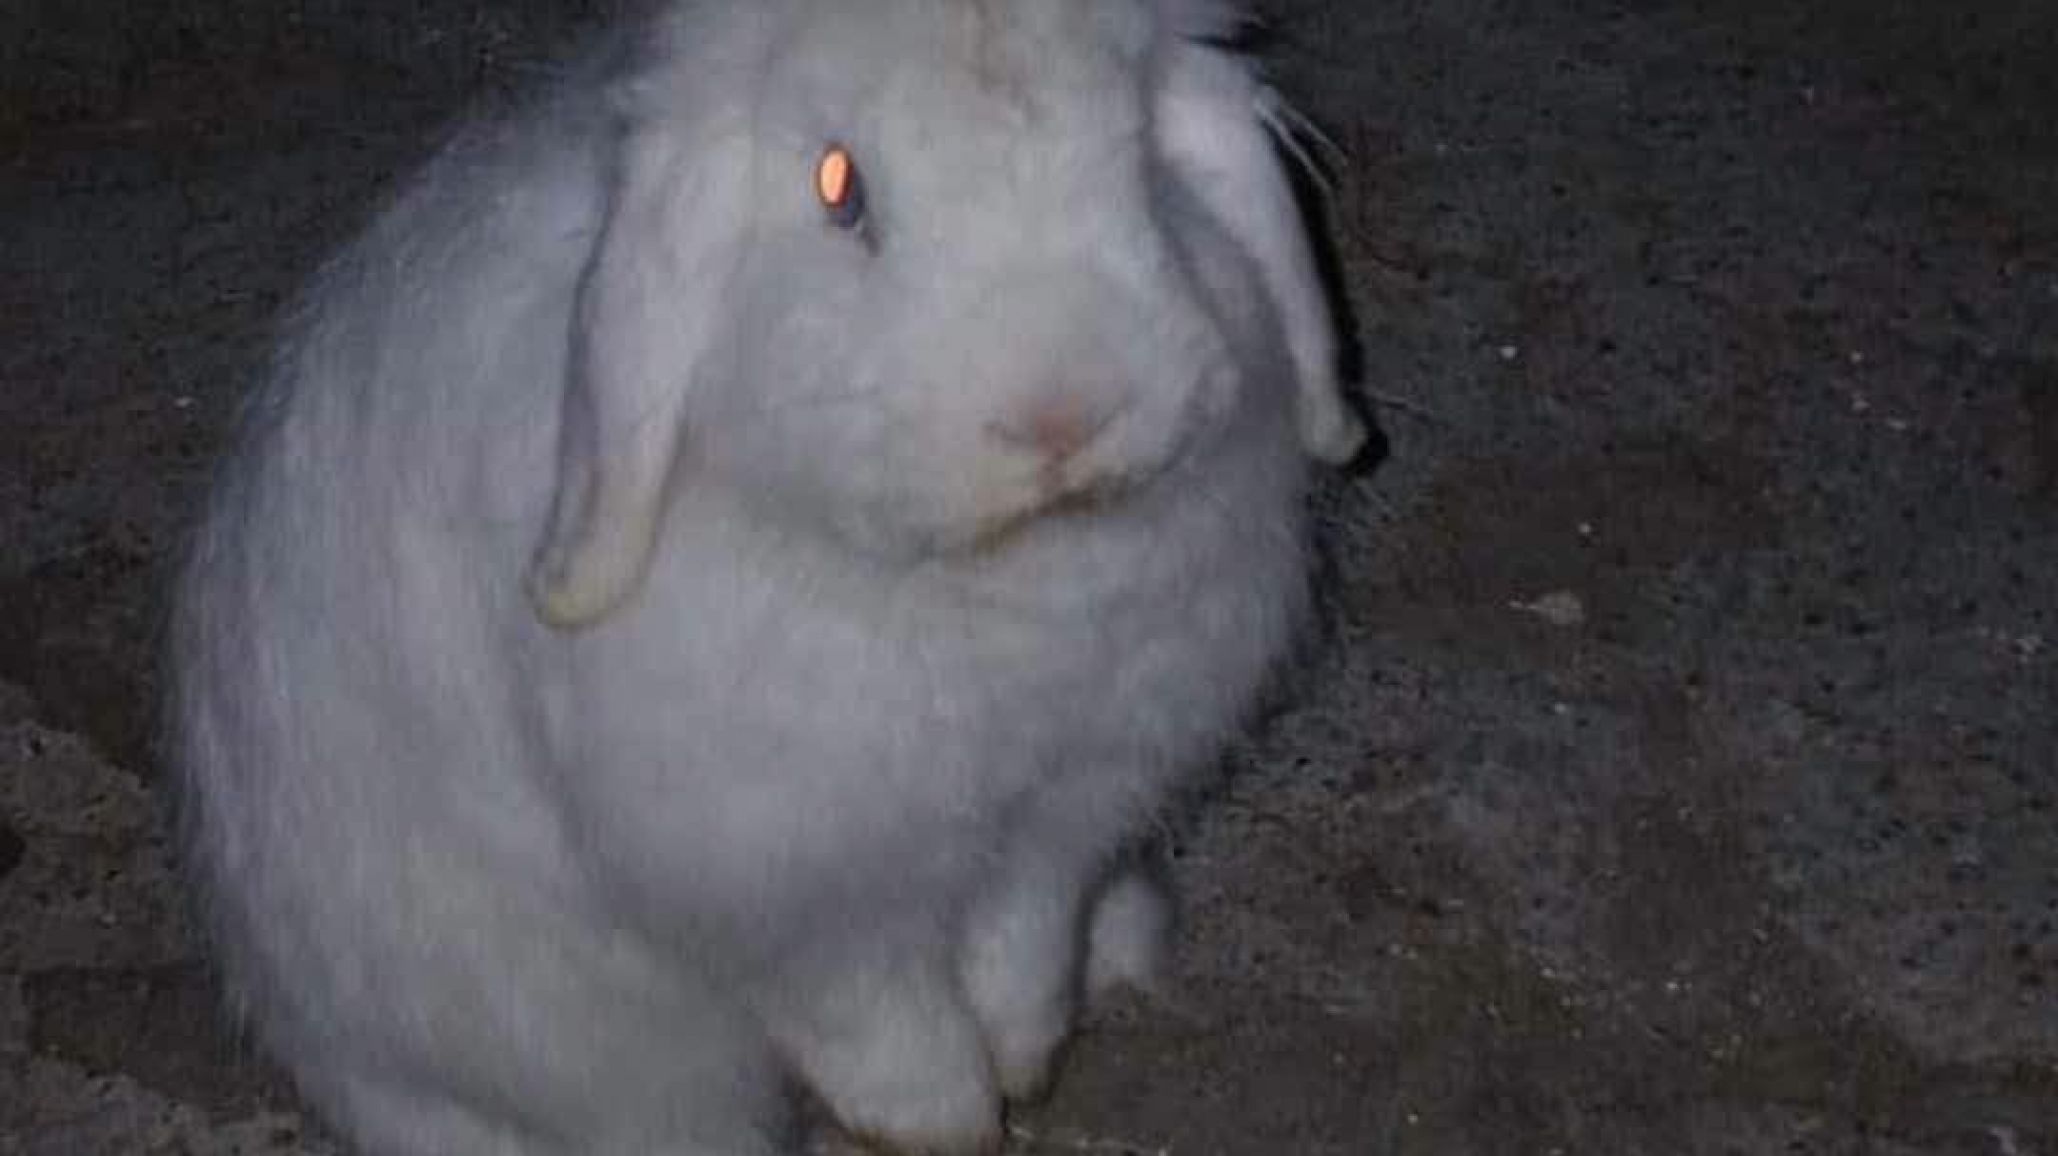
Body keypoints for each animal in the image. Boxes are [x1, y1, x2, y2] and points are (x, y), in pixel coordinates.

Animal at [168, 1, 1368, 1153]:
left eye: (1144, 155)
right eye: (840, 188)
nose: (1065, 411)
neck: (999, 577)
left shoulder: (1067, 810)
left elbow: (1019, 942)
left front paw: (1026, 1058)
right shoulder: (796, 888)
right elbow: (875, 1016)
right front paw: (946, 1121)